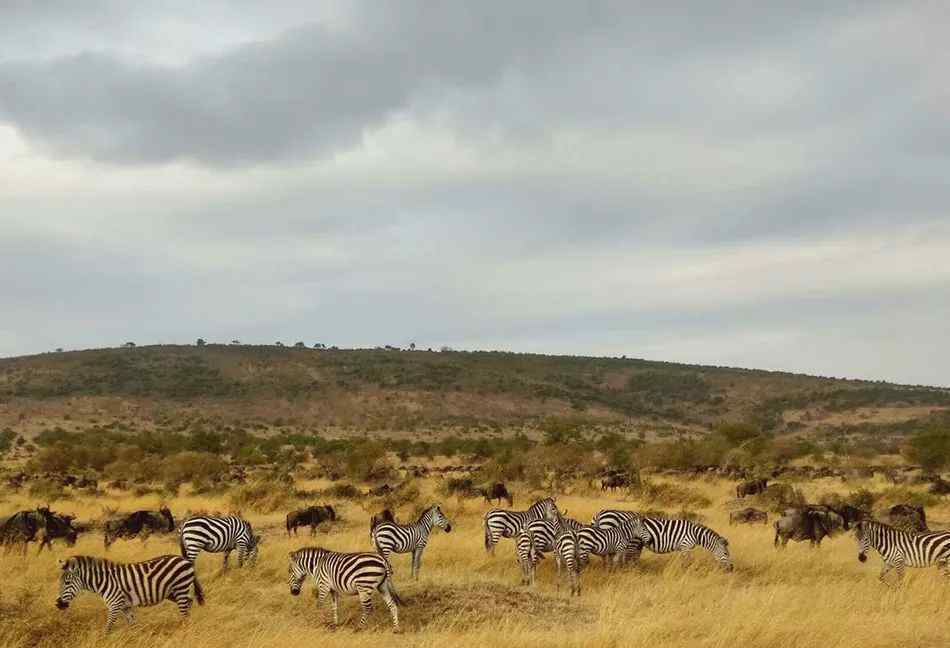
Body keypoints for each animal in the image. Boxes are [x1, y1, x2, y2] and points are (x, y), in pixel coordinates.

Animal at [54, 556, 205, 632]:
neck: (104, 582)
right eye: (60, 582)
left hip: (180, 588)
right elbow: (133, 625)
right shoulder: (125, 607)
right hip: (172, 592)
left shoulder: (114, 605)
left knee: (185, 608)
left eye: (67, 583)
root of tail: (185, 559)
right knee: (189, 601)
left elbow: (108, 628)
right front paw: (136, 638)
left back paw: (184, 627)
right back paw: (185, 624)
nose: (58, 604)